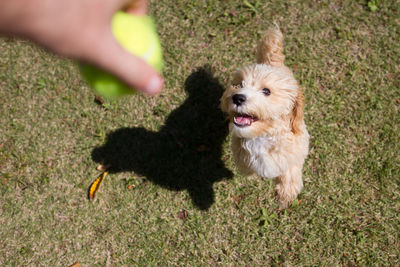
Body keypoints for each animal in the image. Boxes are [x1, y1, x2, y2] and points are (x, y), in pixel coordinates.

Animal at [222, 27, 310, 209]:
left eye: (266, 91)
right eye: (239, 84)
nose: (237, 98)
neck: (262, 136)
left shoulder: (295, 151)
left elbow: (290, 172)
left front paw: (285, 195)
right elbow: (248, 171)